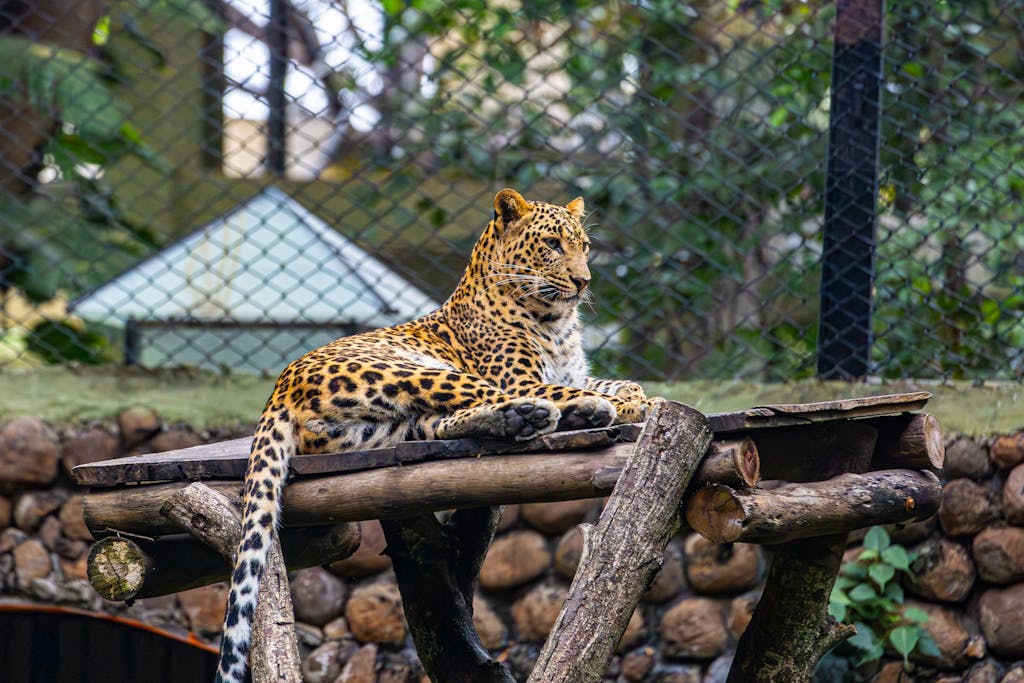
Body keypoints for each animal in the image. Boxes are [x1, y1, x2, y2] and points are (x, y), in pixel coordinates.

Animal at [215, 188, 652, 682]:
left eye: (584, 246)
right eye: (553, 245)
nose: (582, 281)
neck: (558, 324)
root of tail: (279, 388)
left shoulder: (575, 372)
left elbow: (622, 382)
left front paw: (637, 397)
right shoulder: (521, 378)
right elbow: (575, 389)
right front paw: (627, 404)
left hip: (386, 425)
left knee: (438, 421)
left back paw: (525, 420)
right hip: (414, 368)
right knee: (495, 399)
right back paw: (564, 413)